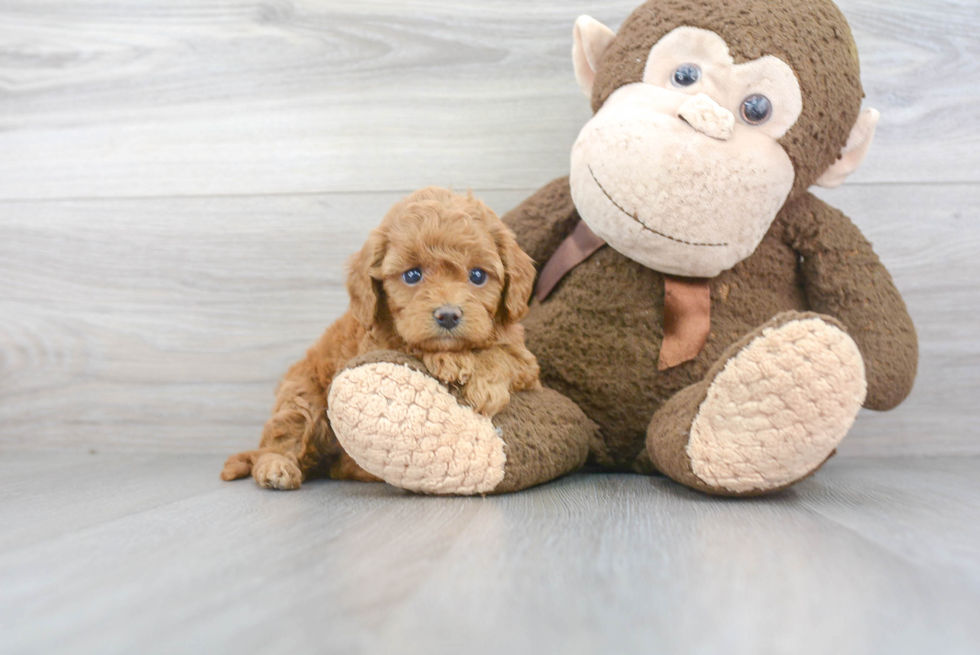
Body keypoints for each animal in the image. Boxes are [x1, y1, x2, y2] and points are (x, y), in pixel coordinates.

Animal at [219, 187, 540, 490]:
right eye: (412, 275)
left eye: (477, 275)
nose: (448, 315)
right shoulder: (379, 345)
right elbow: (410, 344)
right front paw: (450, 359)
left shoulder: (527, 365)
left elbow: (504, 356)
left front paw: (484, 384)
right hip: (302, 396)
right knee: (284, 435)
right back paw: (275, 467)